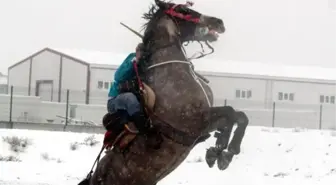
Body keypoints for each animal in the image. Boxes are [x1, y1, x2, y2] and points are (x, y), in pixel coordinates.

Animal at [88, 0, 248, 184]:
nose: (218, 22)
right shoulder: (196, 121)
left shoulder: (204, 126)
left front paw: (225, 152)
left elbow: (240, 117)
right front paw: (219, 150)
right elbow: (230, 112)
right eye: (183, 9)